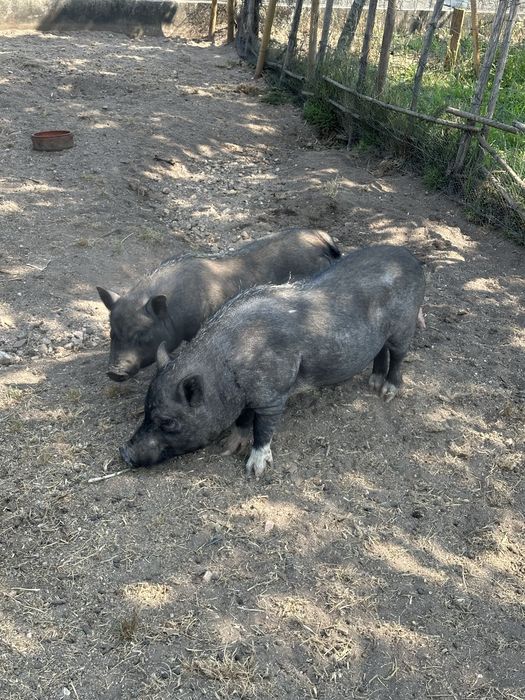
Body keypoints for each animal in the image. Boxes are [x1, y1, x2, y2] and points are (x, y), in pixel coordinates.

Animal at [120, 245, 425, 477]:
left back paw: (387, 392)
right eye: (145, 411)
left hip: (404, 324)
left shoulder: (273, 395)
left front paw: (254, 470)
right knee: (381, 351)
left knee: (399, 354)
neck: (227, 368)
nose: (125, 452)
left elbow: (263, 428)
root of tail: (412, 259)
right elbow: (242, 421)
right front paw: (230, 447)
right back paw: (373, 383)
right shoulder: (244, 397)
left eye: (169, 421)